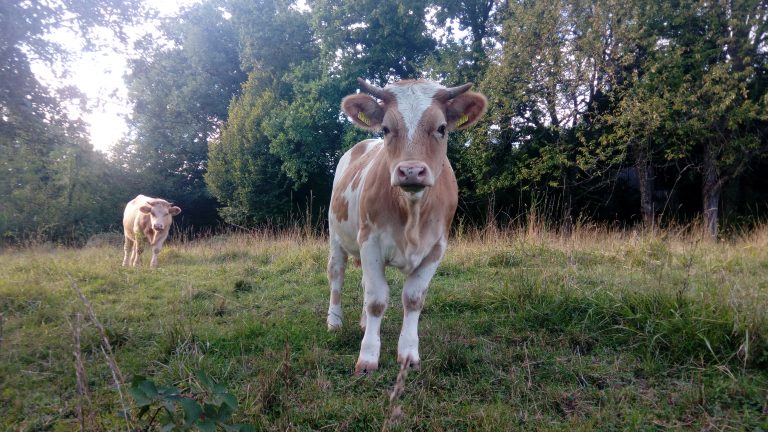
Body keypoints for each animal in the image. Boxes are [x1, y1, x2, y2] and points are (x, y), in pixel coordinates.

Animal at [326, 78, 486, 374]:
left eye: (441, 128)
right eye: (386, 129)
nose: (411, 171)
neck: (412, 210)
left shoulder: (437, 247)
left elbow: (412, 299)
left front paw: (409, 354)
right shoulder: (370, 241)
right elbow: (377, 299)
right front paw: (368, 357)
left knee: (364, 282)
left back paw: (363, 323)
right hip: (335, 235)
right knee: (337, 275)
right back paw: (334, 321)